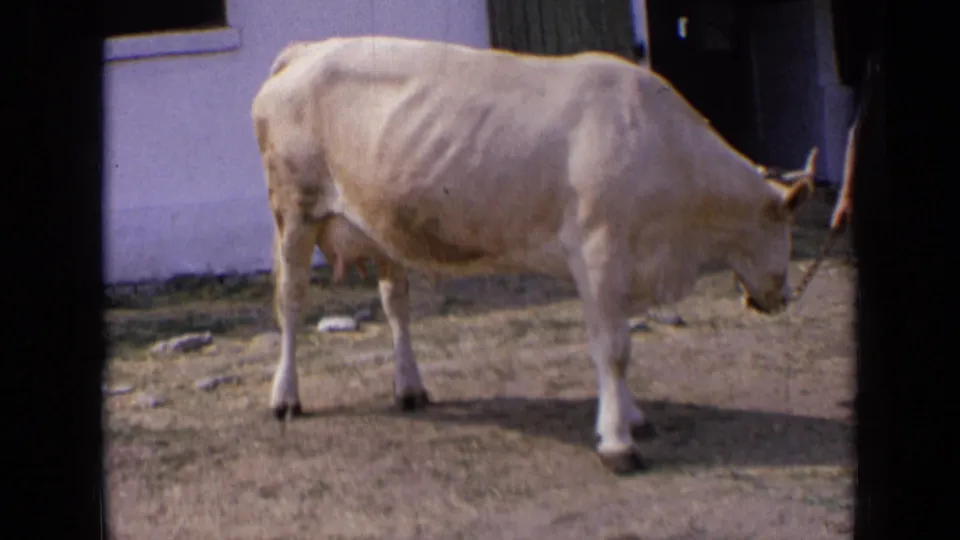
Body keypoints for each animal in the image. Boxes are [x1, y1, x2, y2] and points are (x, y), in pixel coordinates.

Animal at [251, 36, 816, 474]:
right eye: (787, 228)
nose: (783, 295)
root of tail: (307, 51)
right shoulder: (599, 250)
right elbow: (613, 348)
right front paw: (618, 442)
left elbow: (619, 345)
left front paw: (632, 417)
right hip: (294, 210)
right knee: (292, 303)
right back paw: (286, 398)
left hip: (379, 218)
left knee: (396, 303)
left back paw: (410, 388)